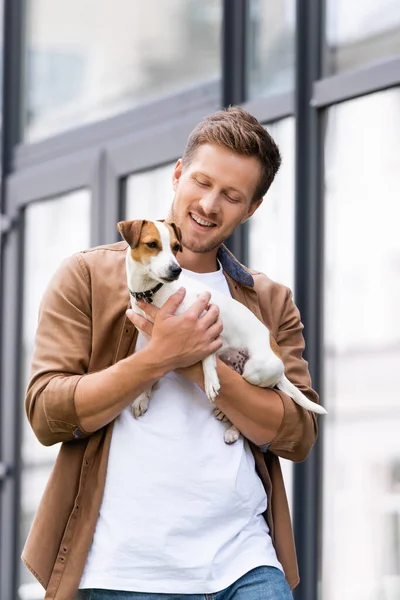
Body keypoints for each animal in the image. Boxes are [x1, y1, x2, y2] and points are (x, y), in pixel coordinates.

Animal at [117, 218, 326, 442]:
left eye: (176, 247)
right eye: (152, 244)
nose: (176, 270)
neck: (153, 292)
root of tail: (278, 357)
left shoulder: (205, 322)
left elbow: (207, 356)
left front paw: (210, 380)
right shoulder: (152, 343)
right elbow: (151, 370)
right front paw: (141, 397)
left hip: (254, 371)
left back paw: (231, 424)